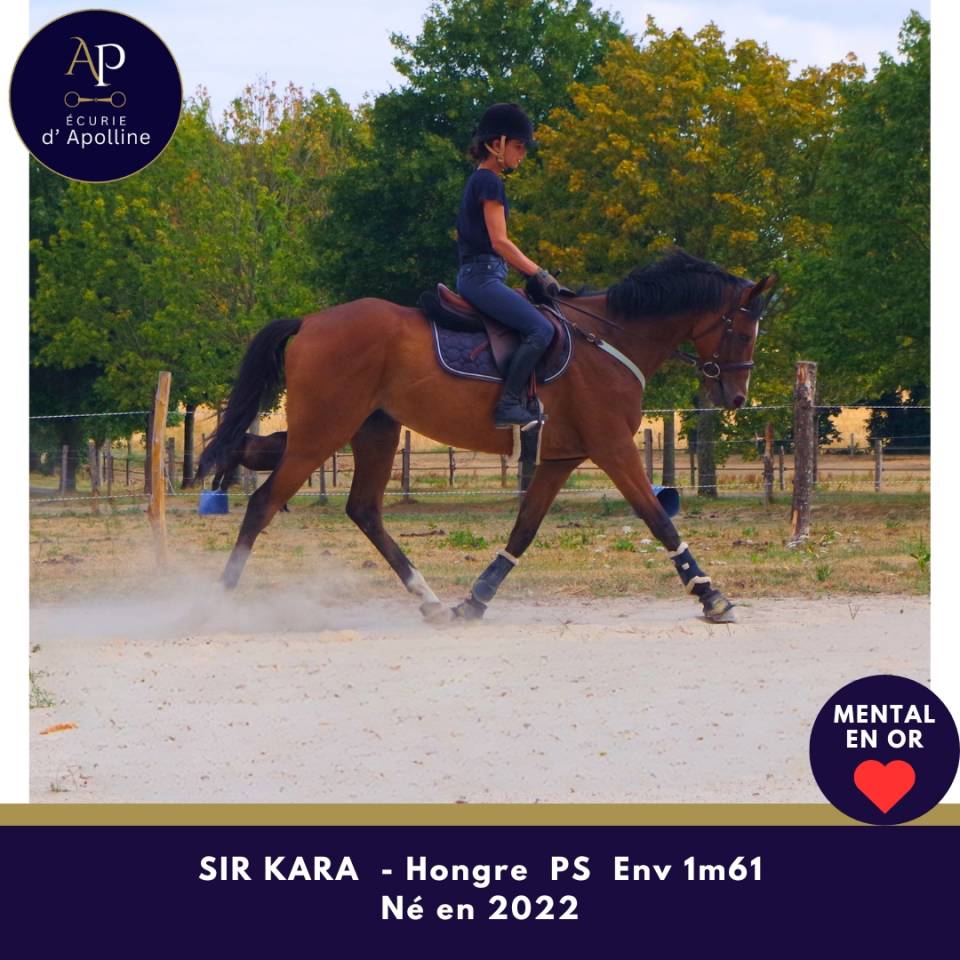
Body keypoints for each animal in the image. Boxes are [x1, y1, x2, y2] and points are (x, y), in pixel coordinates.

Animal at [197, 249, 775, 624]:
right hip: (324, 431)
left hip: (371, 430)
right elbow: (658, 519)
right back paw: (217, 599)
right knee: (264, 503)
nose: (736, 397)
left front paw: (475, 600)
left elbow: (524, 529)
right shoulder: (612, 447)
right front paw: (711, 595)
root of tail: (310, 322)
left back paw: (430, 600)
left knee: (359, 507)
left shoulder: (562, 457)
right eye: (744, 331)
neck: (608, 339)